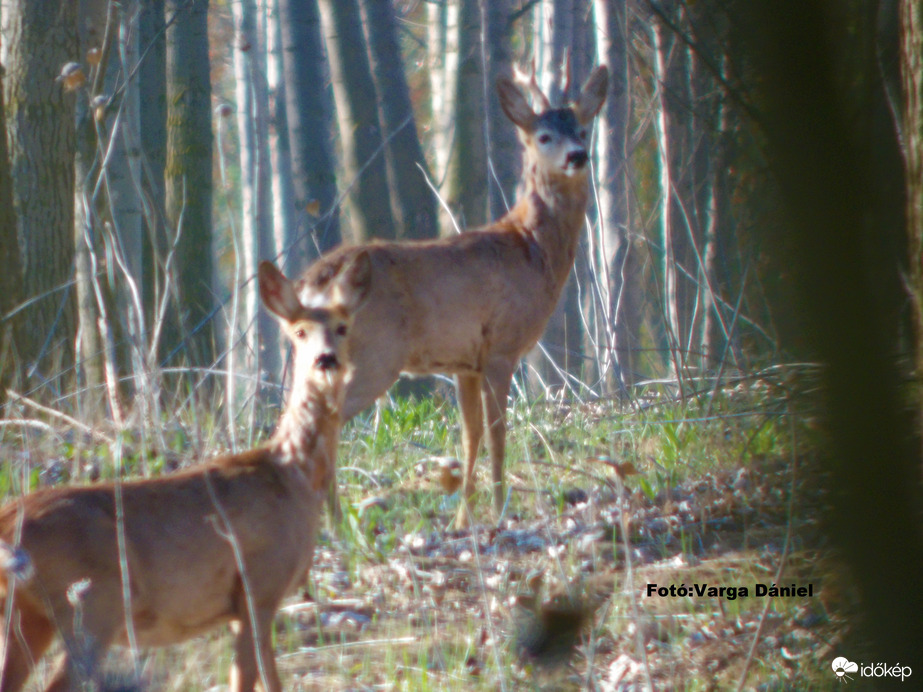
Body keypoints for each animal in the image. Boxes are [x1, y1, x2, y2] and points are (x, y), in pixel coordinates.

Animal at [0, 255, 372, 692]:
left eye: (342, 327)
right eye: (299, 332)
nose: (326, 359)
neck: (292, 475)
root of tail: (9, 522)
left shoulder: (246, 603)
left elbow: (268, 679)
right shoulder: (258, 583)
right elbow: (247, 679)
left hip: (27, 613)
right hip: (93, 603)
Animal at [298, 66, 608, 528]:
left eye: (583, 130)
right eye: (543, 136)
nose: (578, 156)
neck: (533, 249)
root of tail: (314, 279)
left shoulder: (465, 362)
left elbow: (470, 434)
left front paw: (464, 518)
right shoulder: (502, 346)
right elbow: (498, 432)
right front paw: (499, 511)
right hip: (376, 354)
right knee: (327, 420)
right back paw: (337, 523)